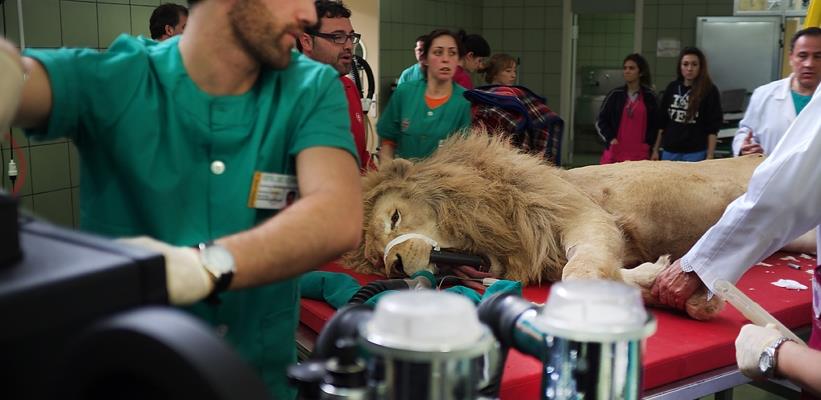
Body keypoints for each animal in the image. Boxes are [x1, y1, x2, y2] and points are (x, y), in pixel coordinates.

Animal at [342, 133, 764, 320]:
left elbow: (579, 270)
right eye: (376, 261)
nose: (394, 265)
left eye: (395, 217)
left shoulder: (586, 216)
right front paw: (668, 289)